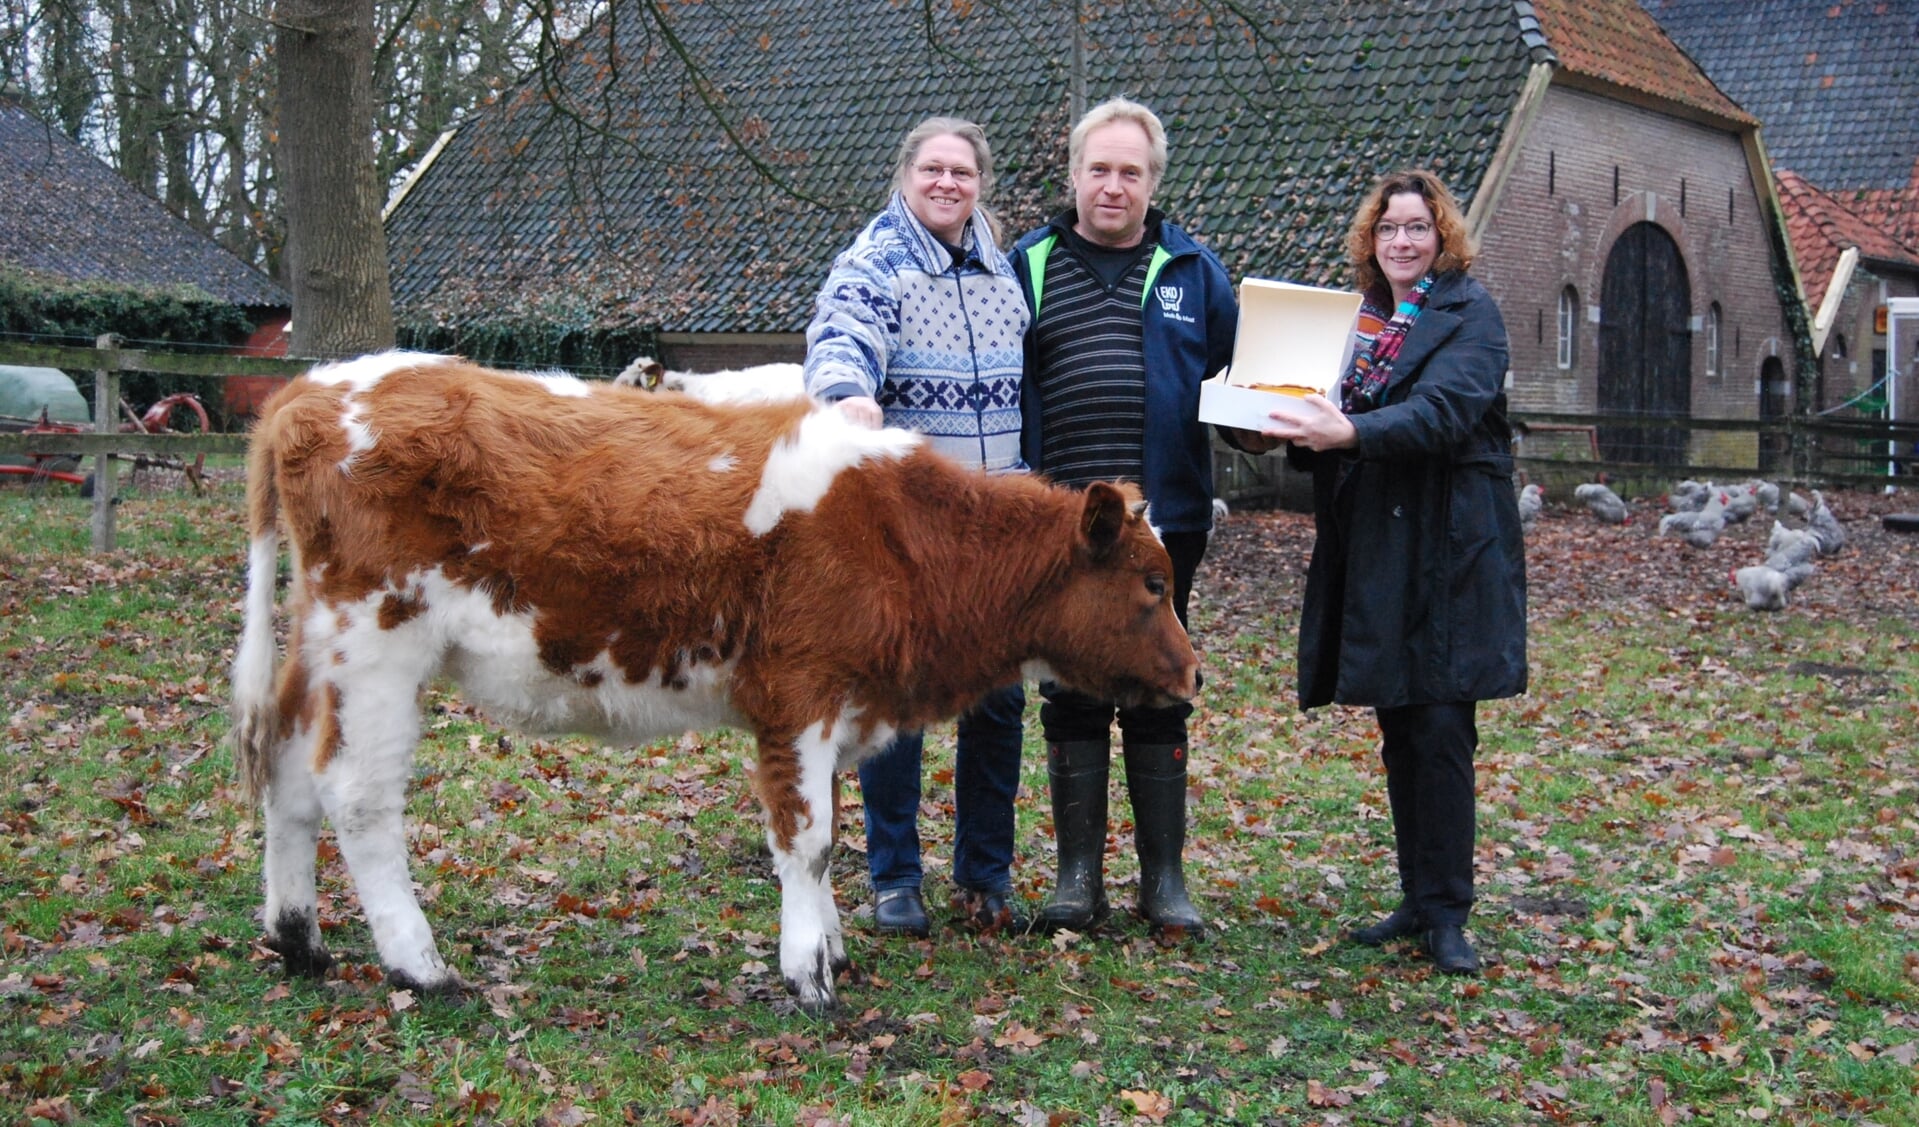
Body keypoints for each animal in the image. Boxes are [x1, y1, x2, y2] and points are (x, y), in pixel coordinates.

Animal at [232, 353, 1197, 1013]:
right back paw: (420, 965)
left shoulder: (834, 710)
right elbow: (806, 840)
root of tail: (312, 388)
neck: (898, 533)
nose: (1193, 673)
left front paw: (831, 949)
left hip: (319, 645)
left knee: (283, 769)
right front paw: (808, 974)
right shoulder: (799, 696)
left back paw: (297, 937)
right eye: (1153, 583)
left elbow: (823, 833)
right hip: (377, 645)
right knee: (356, 797)